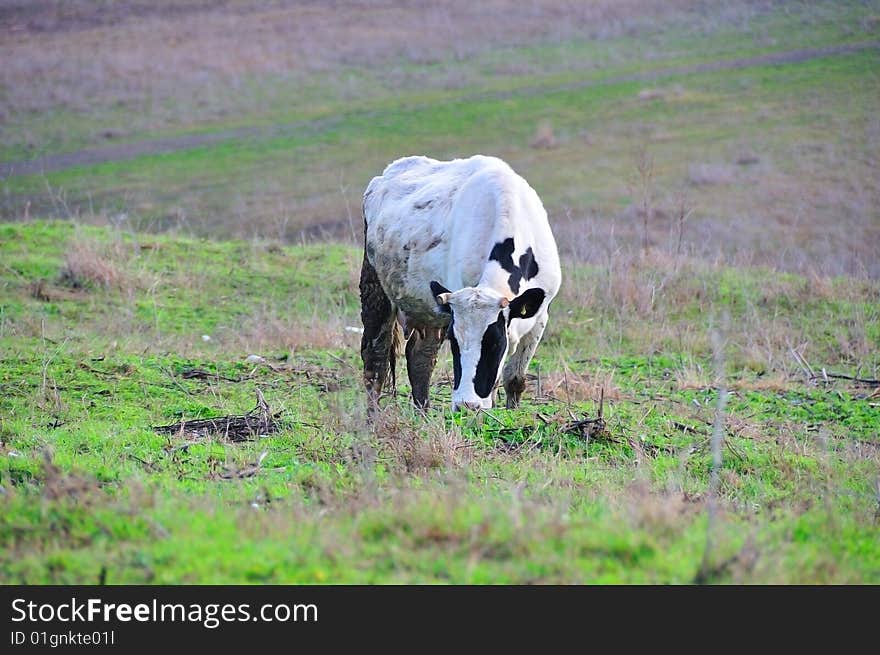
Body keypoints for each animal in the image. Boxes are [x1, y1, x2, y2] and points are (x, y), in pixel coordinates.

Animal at [360, 154, 560, 410]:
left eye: (495, 343)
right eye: (454, 341)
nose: (467, 404)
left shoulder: (540, 315)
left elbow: (514, 379)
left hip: (428, 308)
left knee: (420, 357)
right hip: (374, 285)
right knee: (376, 358)